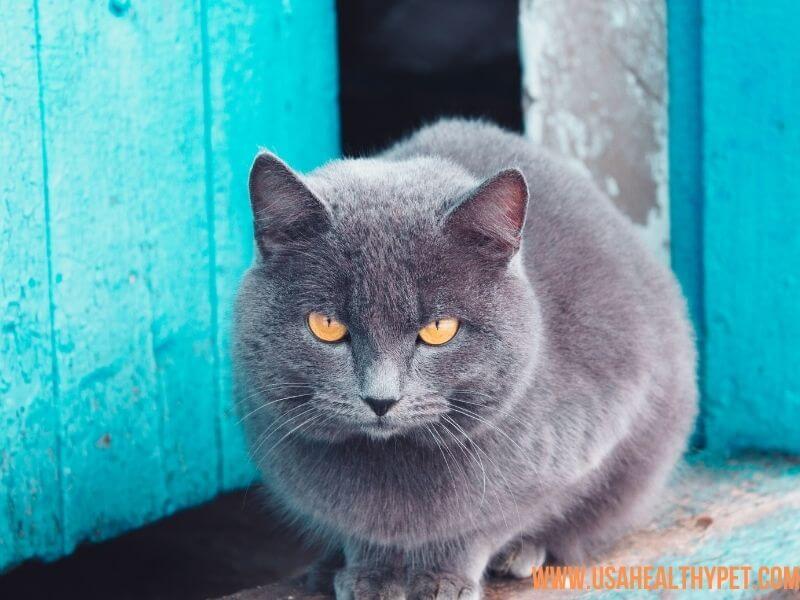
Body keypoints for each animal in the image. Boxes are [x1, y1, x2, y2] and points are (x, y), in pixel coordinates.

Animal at [234, 119, 696, 596]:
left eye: (439, 329)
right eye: (327, 325)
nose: (381, 399)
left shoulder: (587, 434)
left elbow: (482, 525)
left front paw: (444, 578)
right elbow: (361, 531)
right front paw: (370, 575)